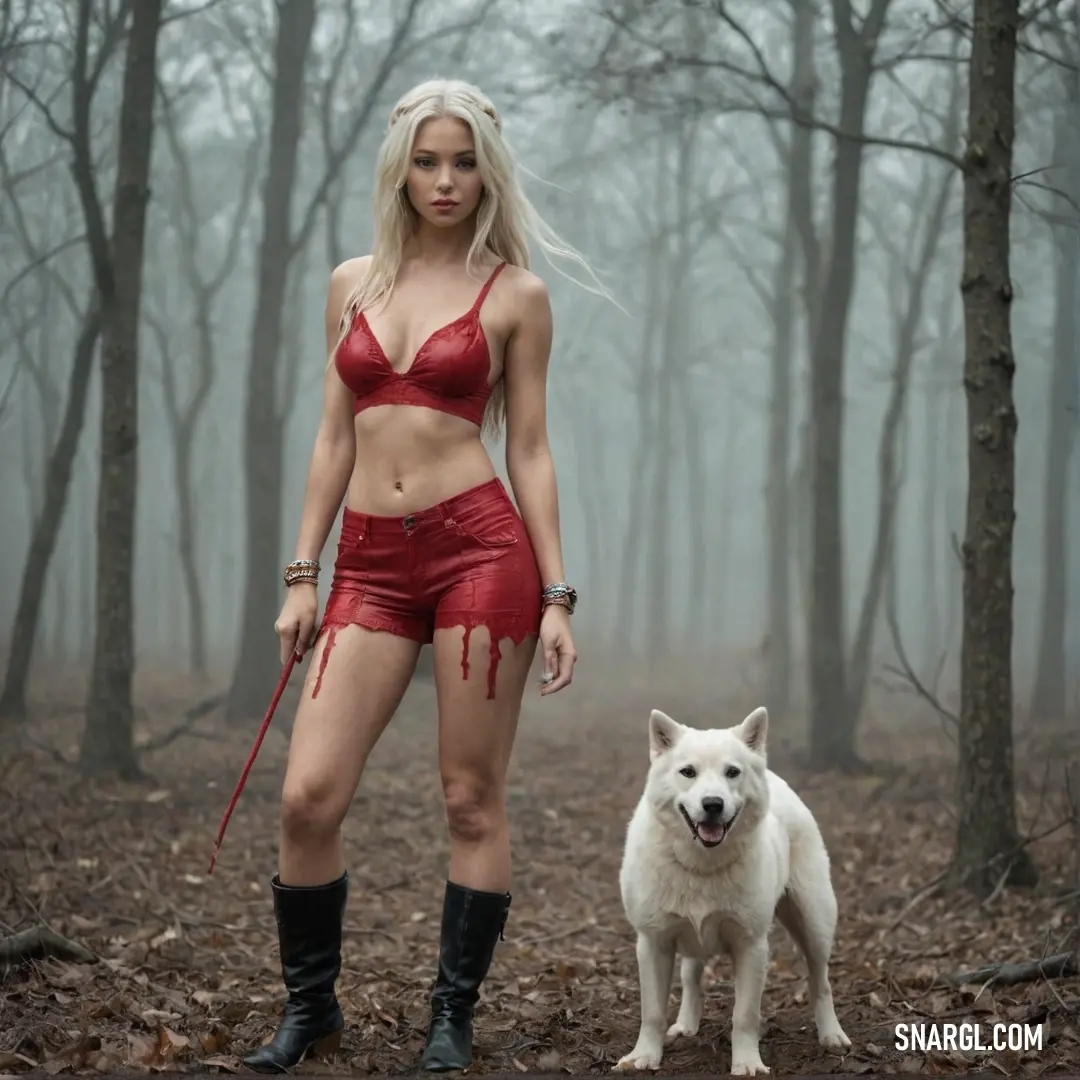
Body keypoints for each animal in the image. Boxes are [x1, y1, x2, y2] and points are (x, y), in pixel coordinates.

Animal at [613, 704, 846, 1075]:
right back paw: (686, 1025)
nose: (713, 804)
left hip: (815, 924)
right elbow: (652, 1012)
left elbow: (745, 1016)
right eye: (688, 772)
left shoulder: (751, 945)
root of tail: (775, 777)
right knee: (691, 976)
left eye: (732, 772)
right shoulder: (653, 942)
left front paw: (747, 1063)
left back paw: (832, 1035)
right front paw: (644, 1057)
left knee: (820, 981)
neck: (702, 864)